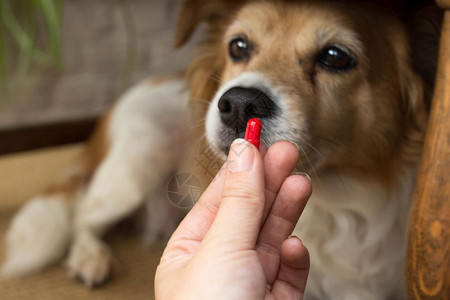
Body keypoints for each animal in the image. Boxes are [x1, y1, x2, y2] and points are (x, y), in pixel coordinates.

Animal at [1, 0, 428, 298]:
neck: (336, 197)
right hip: (136, 167)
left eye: (336, 57)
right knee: (83, 214)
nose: (239, 103)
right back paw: (90, 257)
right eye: (238, 46)